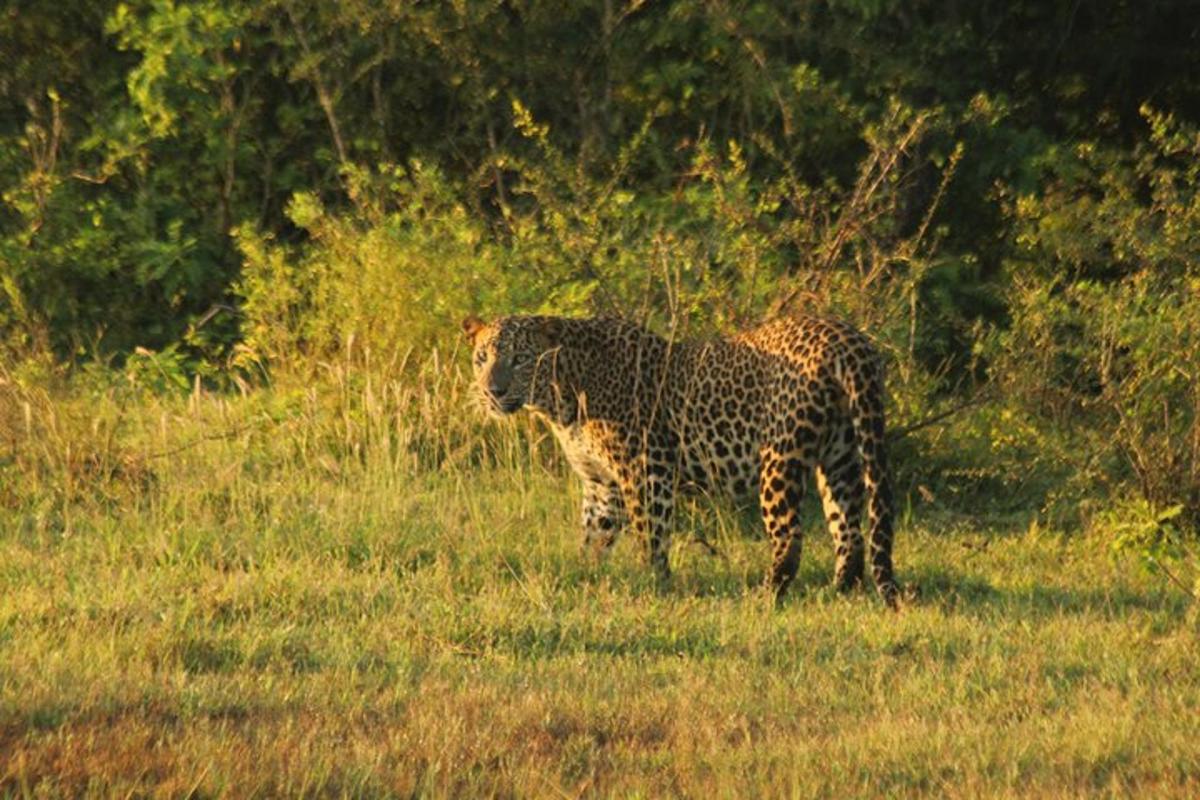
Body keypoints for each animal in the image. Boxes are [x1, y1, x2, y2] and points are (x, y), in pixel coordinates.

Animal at [463, 311, 897, 606]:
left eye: (520, 359)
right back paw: (841, 592)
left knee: (791, 536)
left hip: (780, 456)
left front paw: (654, 586)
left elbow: (649, 534)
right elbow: (593, 536)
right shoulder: (601, 484)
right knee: (850, 532)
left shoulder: (645, 467)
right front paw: (583, 577)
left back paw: (766, 595)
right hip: (841, 455)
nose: (492, 392)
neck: (561, 396)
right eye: (481, 358)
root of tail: (846, 337)